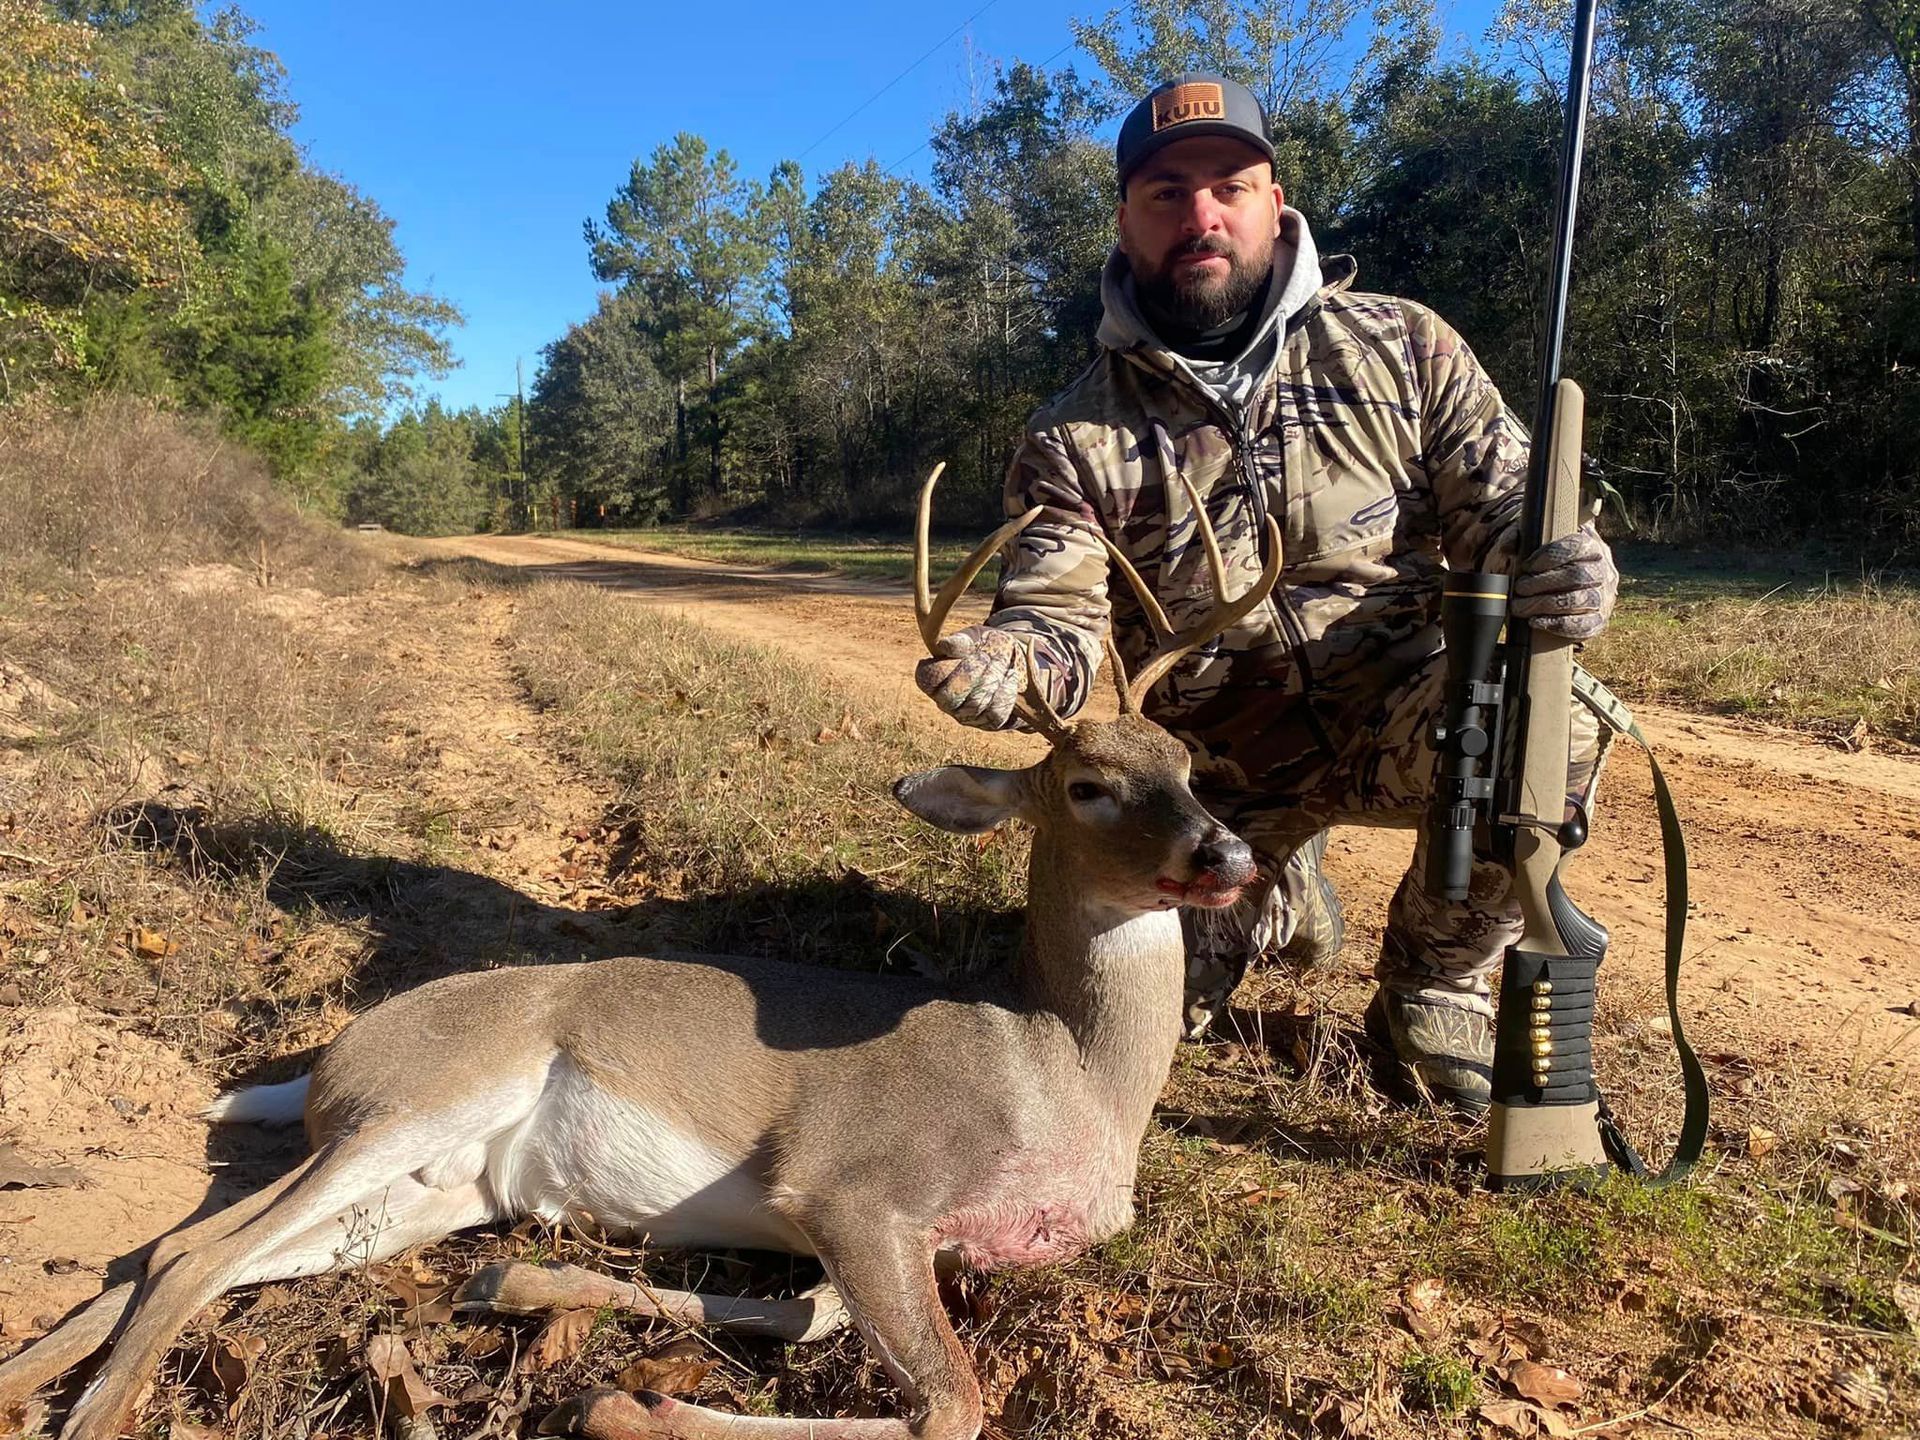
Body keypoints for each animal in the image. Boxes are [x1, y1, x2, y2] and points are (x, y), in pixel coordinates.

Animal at [0, 466, 1281, 1440]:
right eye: (1088, 784)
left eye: (1187, 763)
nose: (1229, 856)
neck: (1059, 1074)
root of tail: (329, 1059)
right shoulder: (858, 1185)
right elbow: (950, 1407)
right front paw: (630, 1405)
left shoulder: (913, 1240)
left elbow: (810, 1320)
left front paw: (531, 1289)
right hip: (421, 1096)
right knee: (187, 1252)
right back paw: (92, 1416)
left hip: (429, 1191)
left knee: (173, 1254)